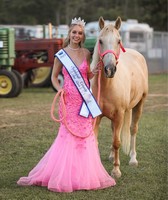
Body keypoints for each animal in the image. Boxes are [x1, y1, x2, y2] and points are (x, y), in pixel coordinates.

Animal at [90, 16, 148, 178]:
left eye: (118, 40)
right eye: (100, 41)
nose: (109, 69)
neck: (108, 86)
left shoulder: (120, 115)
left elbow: (117, 142)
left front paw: (116, 171)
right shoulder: (97, 117)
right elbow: (95, 141)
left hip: (139, 105)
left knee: (133, 129)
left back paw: (133, 159)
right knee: (113, 130)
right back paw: (111, 156)